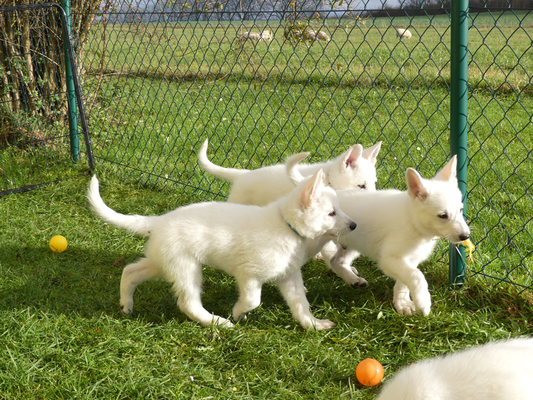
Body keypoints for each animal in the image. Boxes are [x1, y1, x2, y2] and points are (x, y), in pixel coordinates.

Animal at [87, 170, 356, 330]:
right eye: (331, 213)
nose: (354, 225)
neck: (286, 225)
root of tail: (159, 221)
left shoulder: (289, 275)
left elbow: (300, 303)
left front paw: (313, 324)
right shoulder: (248, 274)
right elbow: (253, 300)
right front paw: (238, 314)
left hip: (162, 263)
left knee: (130, 271)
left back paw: (126, 305)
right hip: (186, 268)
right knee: (188, 303)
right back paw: (217, 322)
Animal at [286, 155, 470, 314]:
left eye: (461, 210)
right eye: (443, 216)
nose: (465, 236)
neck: (412, 220)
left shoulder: (407, 260)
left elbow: (404, 282)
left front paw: (402, 303)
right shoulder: (389, 259)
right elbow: (417, 276)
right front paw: (423, 302)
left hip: (354, 242)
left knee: (336, 261)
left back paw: (353, 280)